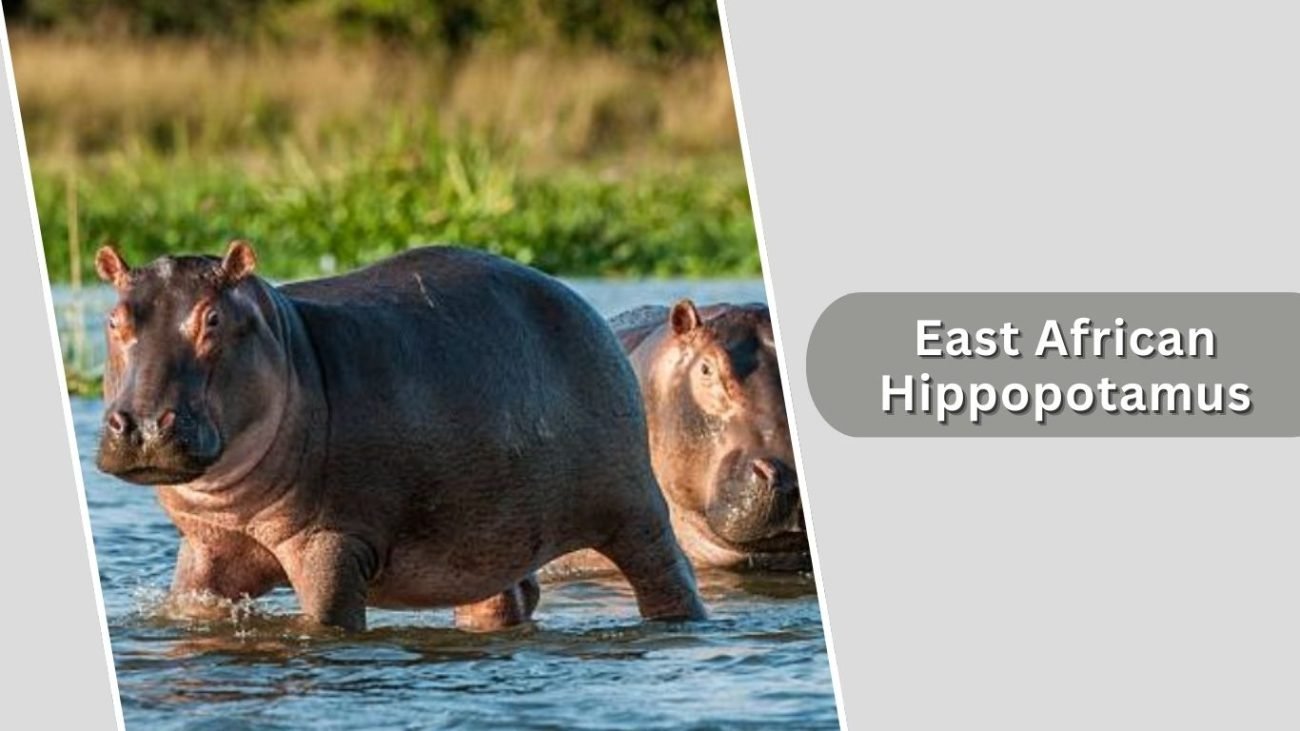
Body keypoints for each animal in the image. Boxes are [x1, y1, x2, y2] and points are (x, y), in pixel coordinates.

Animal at [93, 241, 706, 631]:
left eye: (213, 318)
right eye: (114, 320)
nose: (142, 425)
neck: (287, 345)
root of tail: (581, 304)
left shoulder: (332, 543)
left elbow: (329, 622)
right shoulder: (207, 548)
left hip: (634, 509)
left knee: (667, 574)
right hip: (487, 535)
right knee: (503, 598)